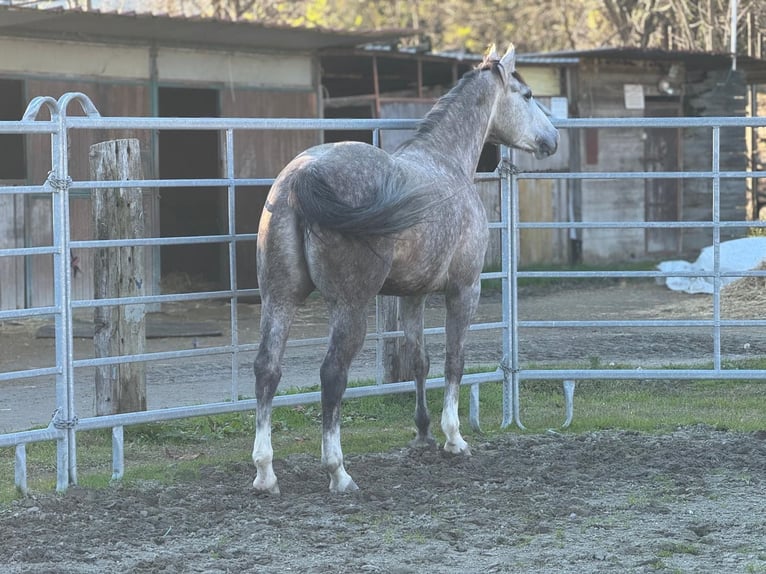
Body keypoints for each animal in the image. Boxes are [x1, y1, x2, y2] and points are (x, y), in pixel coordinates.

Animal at [252, 44, 559, 494]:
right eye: (528, 94)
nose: (552, 138)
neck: (446, 161)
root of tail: (301, 176)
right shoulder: (464, 289)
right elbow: (453, 360)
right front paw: (453, 438)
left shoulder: (414, 295)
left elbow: (419, 361)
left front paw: (423, 432)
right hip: (349, 307)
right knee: (332, 374)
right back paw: (338, 472)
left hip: (279, 298)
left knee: (267, 369)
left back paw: (265, 472)